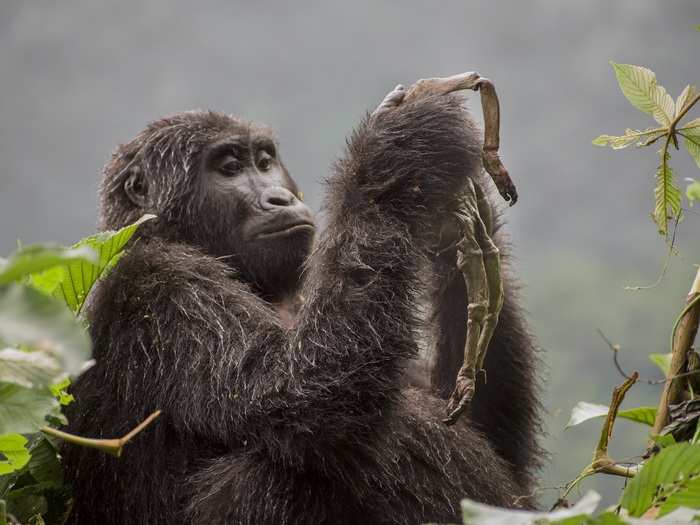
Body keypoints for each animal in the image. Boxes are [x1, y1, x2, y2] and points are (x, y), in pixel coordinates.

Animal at [63, 75, 540, 520]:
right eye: (229, 168)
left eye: (264, 162)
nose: (279, 197)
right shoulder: (162, 285)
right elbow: (300, 398)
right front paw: (401, 149)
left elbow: (487, 432)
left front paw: (451, 212)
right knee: (270, 471)